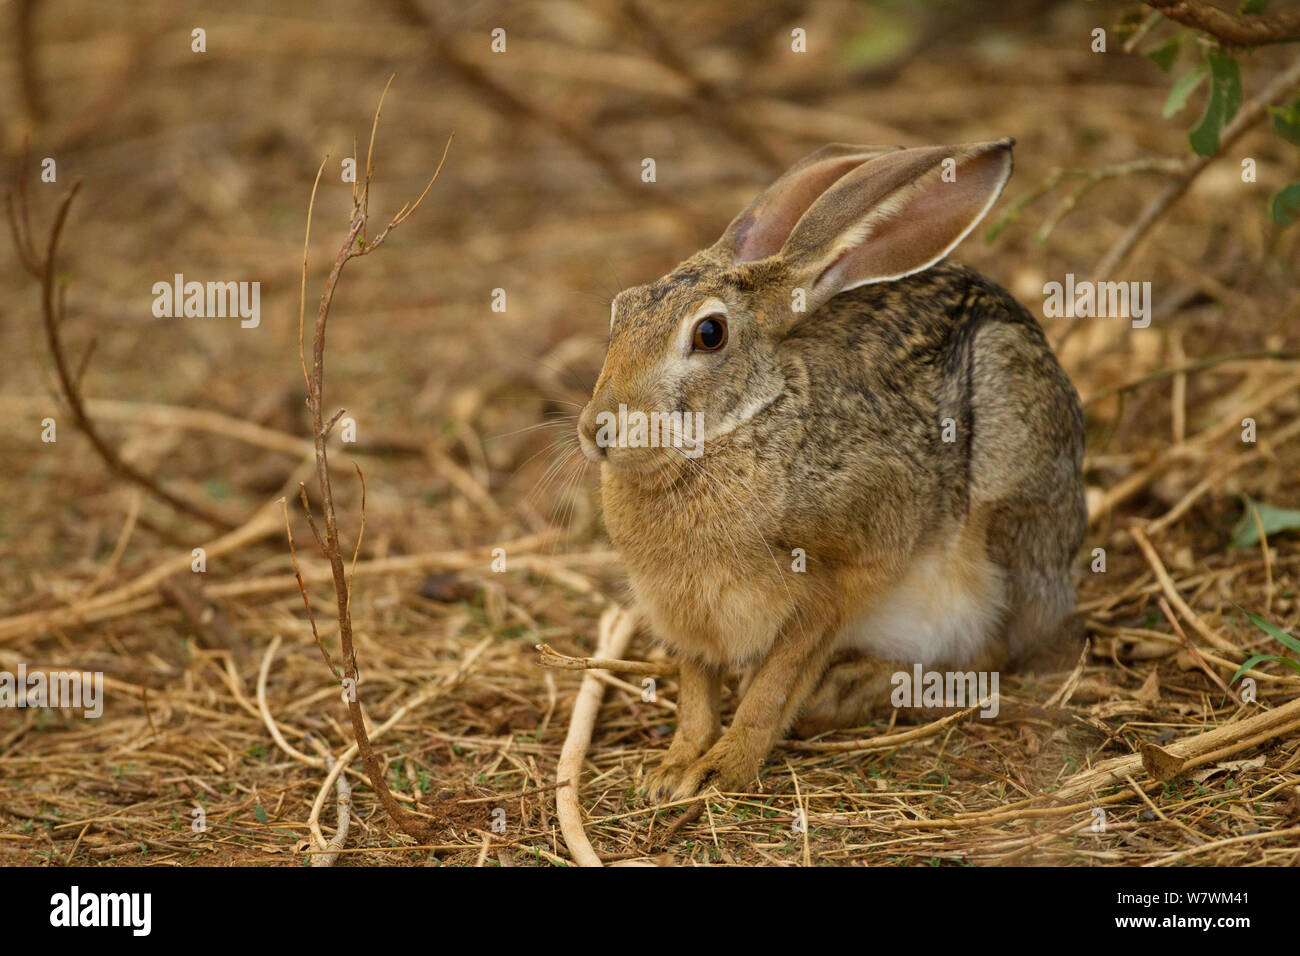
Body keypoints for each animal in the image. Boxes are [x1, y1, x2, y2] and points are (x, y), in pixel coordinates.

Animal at [576, 140, 1086, 801]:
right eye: (621, 311)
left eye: (710, 333)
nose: (597, 430)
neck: (737, 426)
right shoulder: (685, 622)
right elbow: (696, 695)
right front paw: (672, 771)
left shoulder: (838, 579)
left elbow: (775, 683)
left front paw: (725, 767)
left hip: (1003, 514)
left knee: (992, 650)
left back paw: (851, 689)